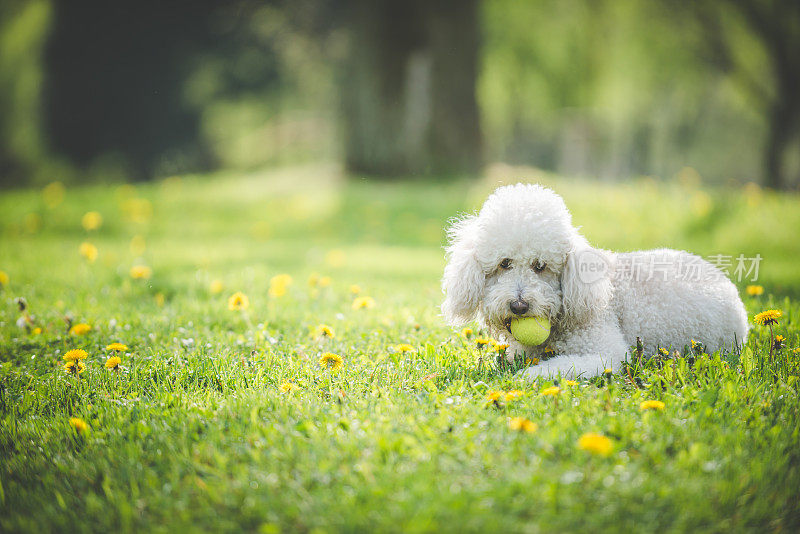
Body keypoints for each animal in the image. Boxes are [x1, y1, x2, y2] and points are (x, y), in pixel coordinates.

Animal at [444, 184, 752, 382]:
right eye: (504, 263)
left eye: (540, 266)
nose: (519, 306)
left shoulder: (607, 353)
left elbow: (562, 366)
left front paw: (529, 376)